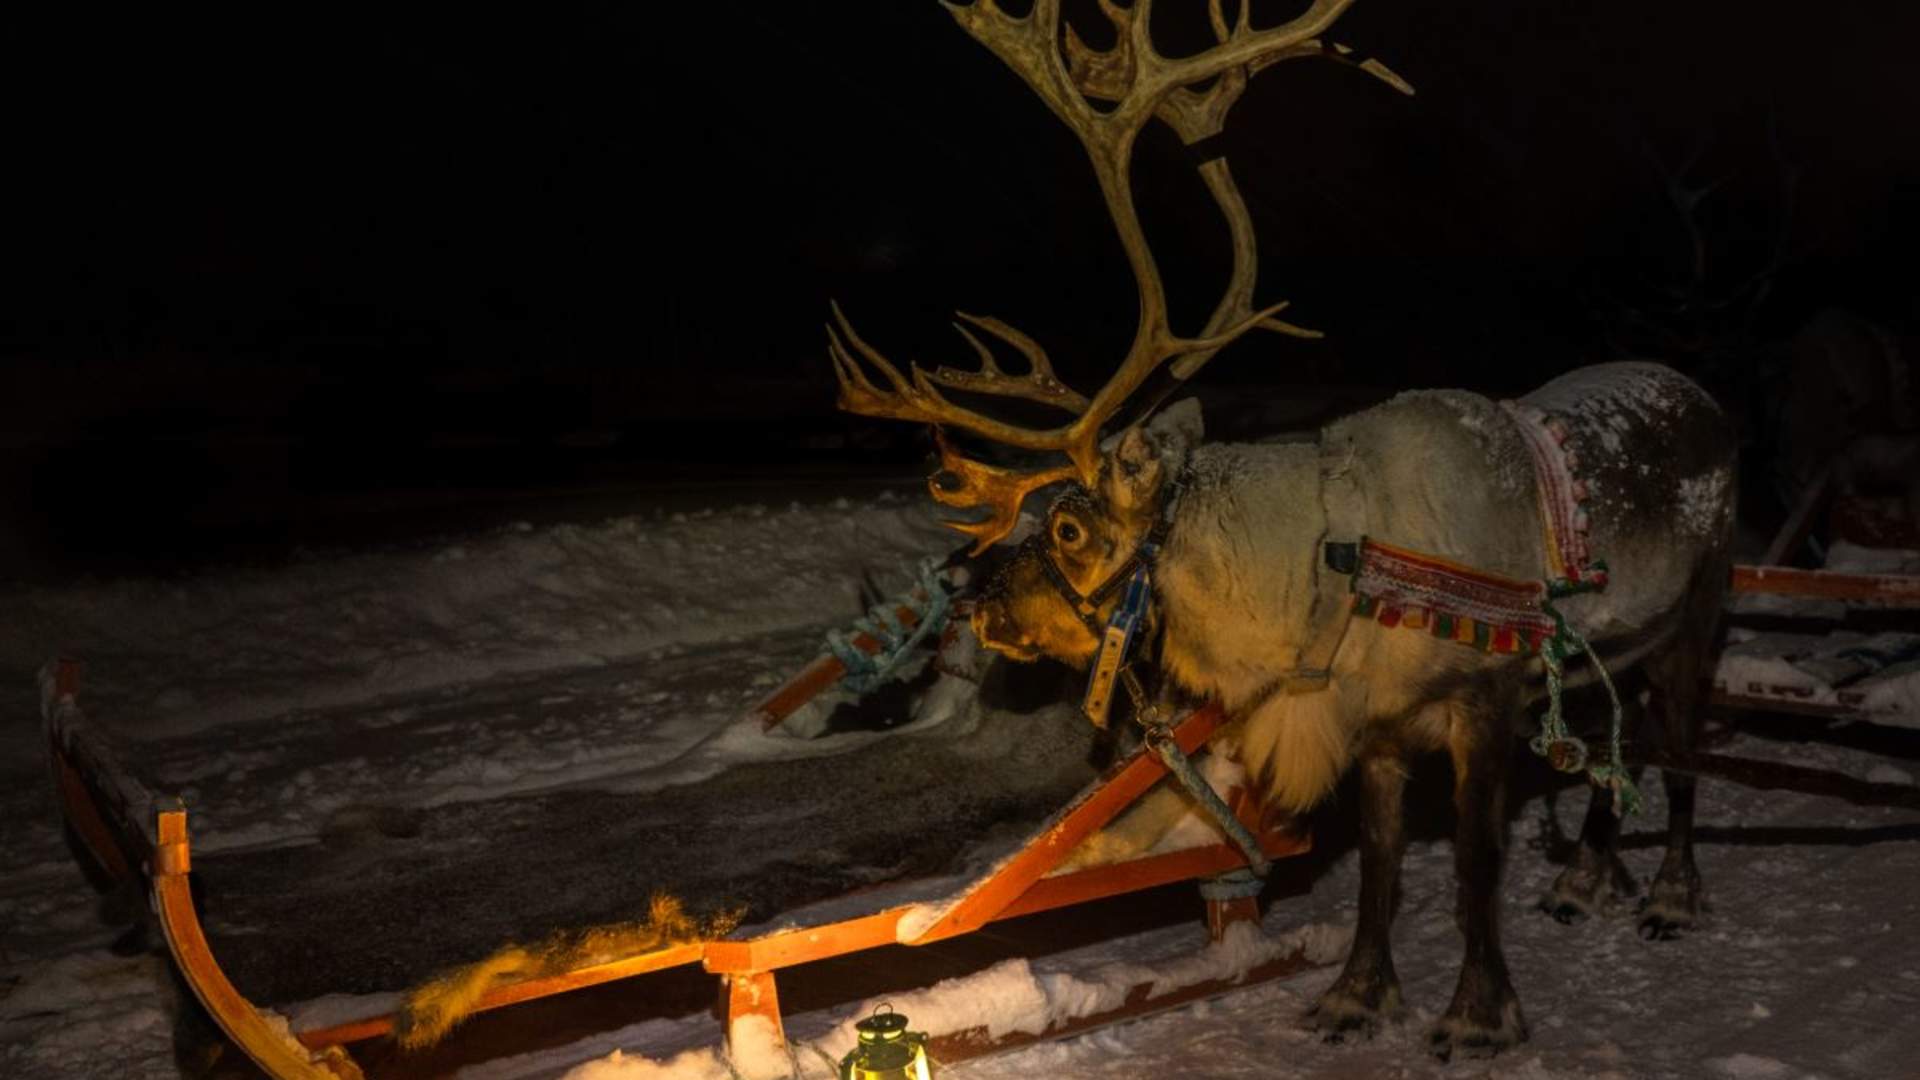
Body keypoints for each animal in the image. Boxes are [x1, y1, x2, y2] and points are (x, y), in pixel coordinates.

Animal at [827, 0, 1736, 1059]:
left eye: (1070, 530)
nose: (977, 605)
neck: (1330, 568)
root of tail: (1701, 394)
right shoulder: (1374, 720)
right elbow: (1381, 863)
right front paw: (1357, 997)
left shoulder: (1484, 703)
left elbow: (1475, 863)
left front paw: (1478, 1013)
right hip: (1609, 650)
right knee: (1612, 741)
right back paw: (1588, 878)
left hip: (1700, 608)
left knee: (1679, 750)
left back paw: (1671, 895)